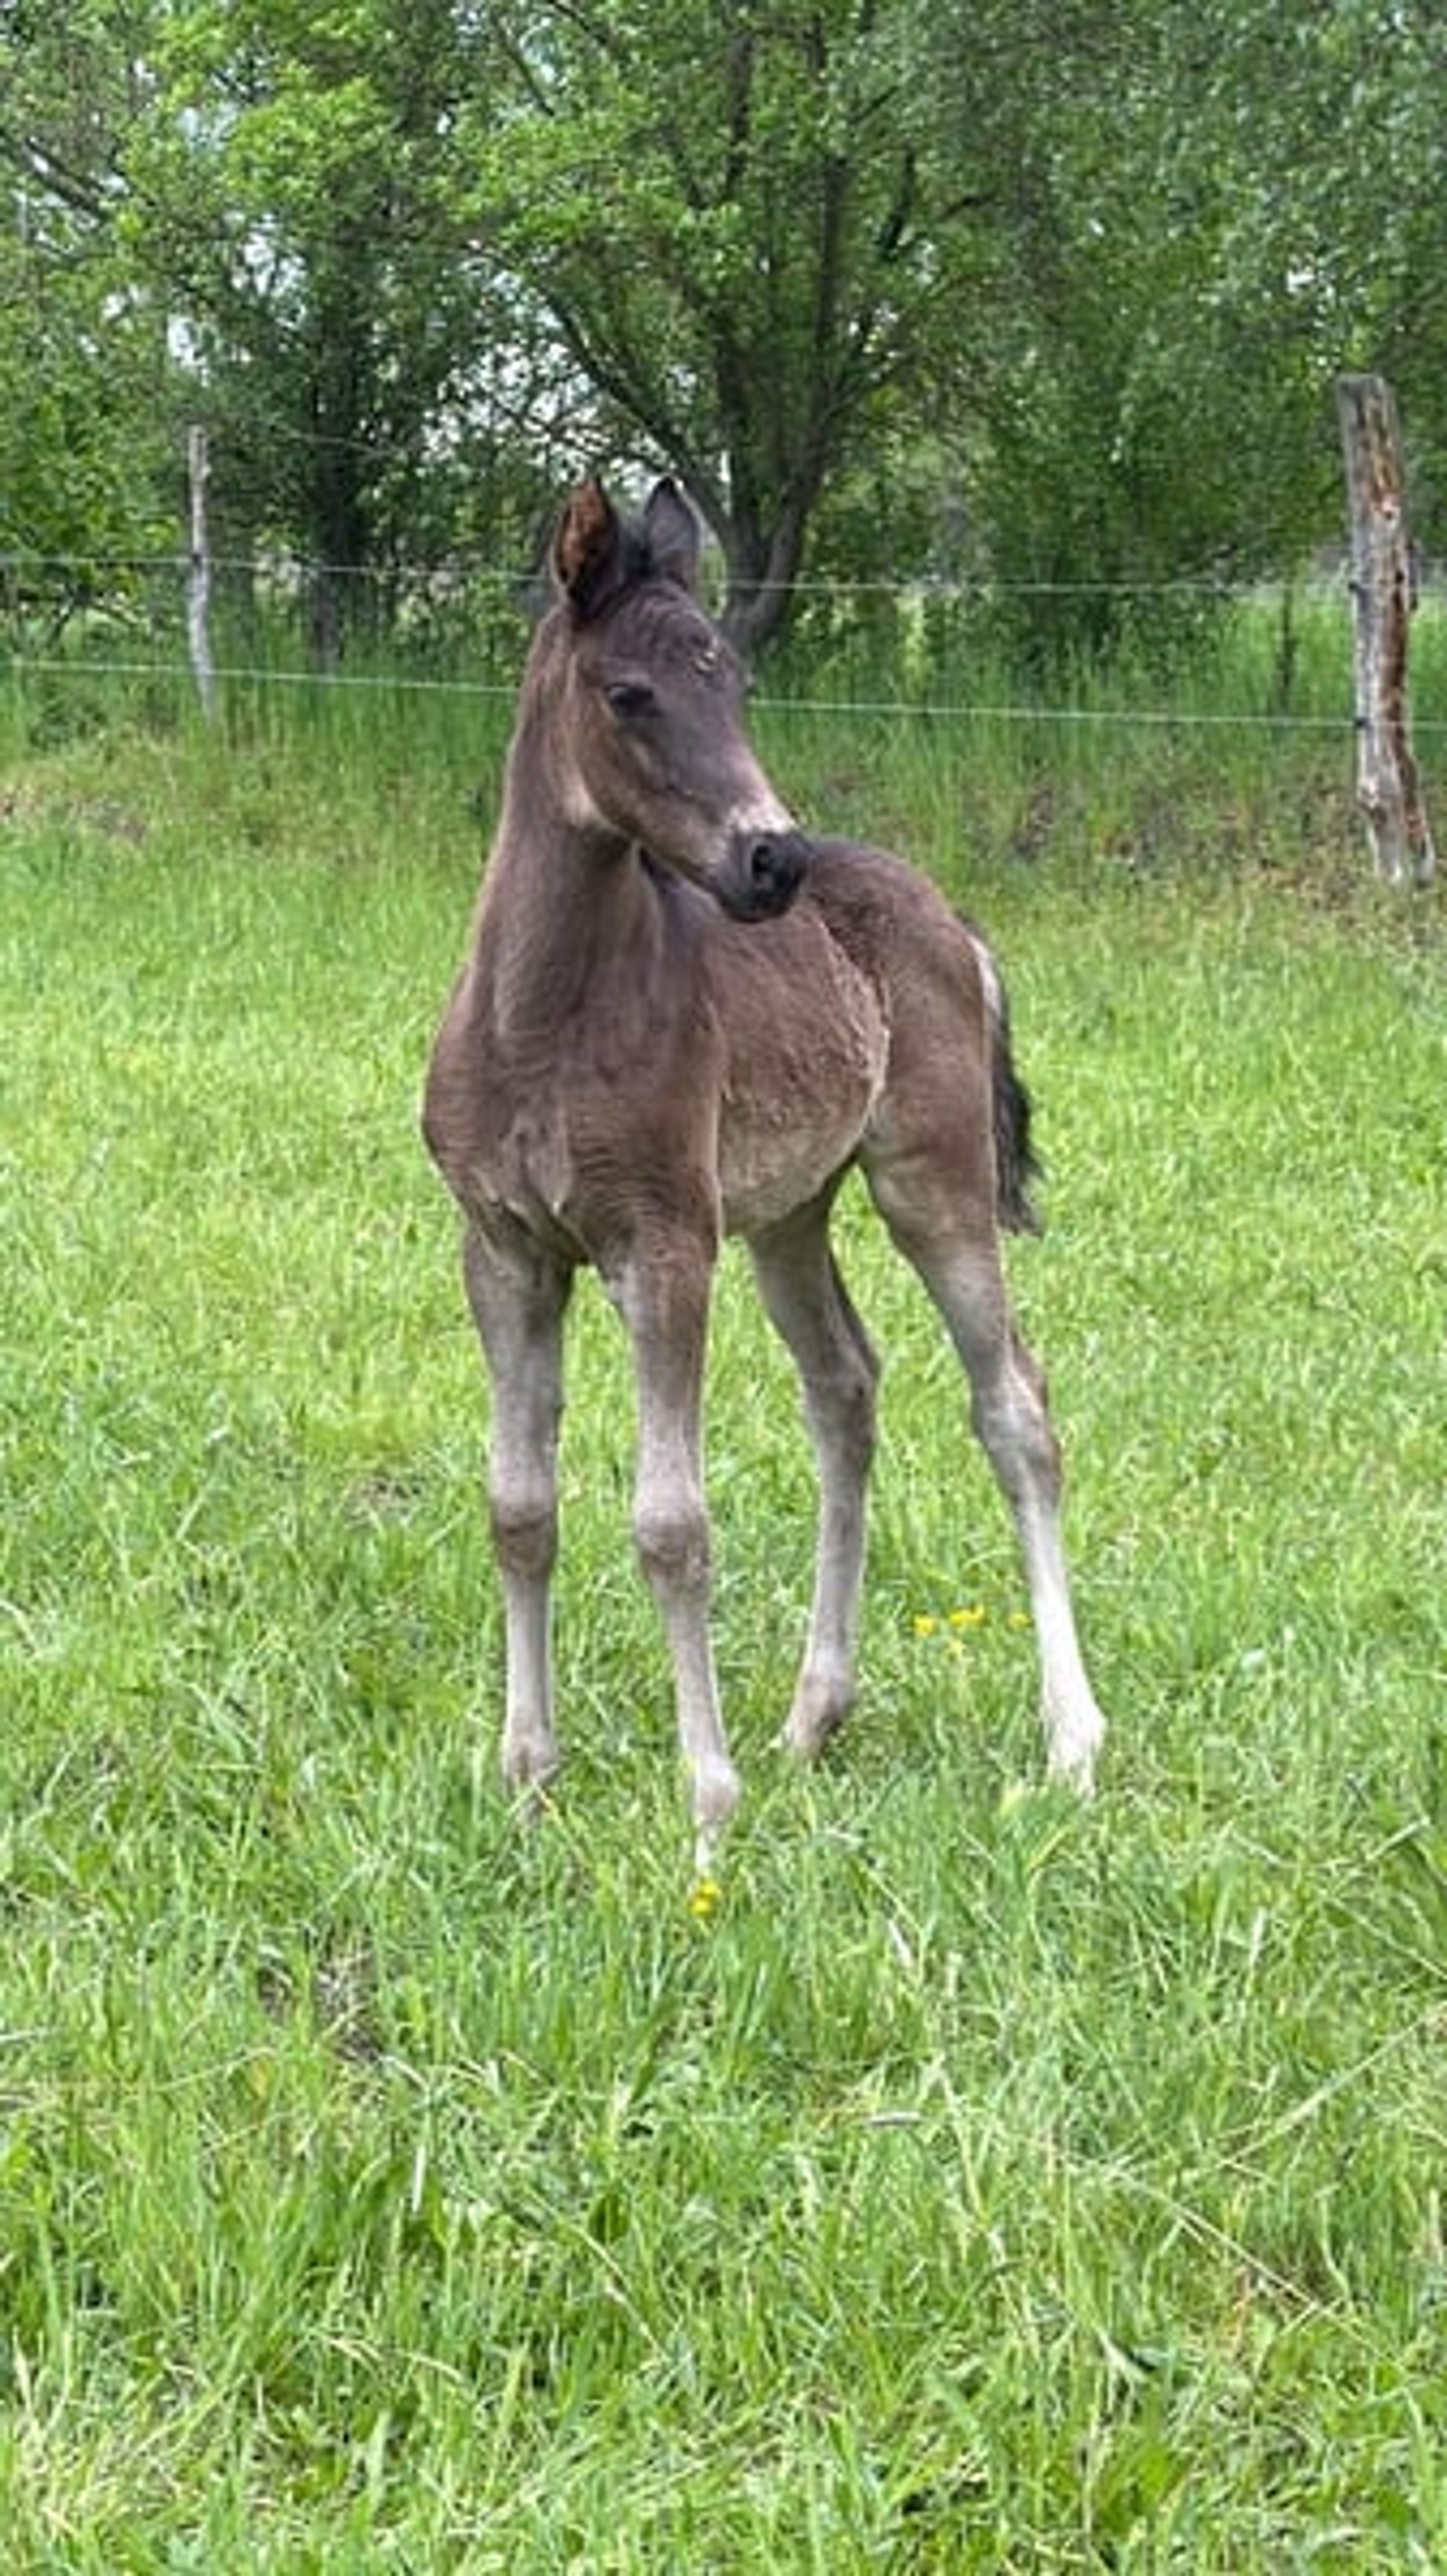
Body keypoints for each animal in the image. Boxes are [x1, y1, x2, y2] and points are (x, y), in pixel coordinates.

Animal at [423, 476, 1106, 1870]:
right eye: (631, 693)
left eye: (733, 681)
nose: (770, 858)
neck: (540, 1018)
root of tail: (953, 920)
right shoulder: (504, 1248)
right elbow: (520, 1505)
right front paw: (527, 1775)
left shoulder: (663, 1244)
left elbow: (670, 1525)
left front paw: (706, 1806)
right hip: (791, 1214)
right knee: (845, 1388)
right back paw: (811, 1716)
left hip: (930, 1181)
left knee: (1015, 1407)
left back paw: (1071, 1741)